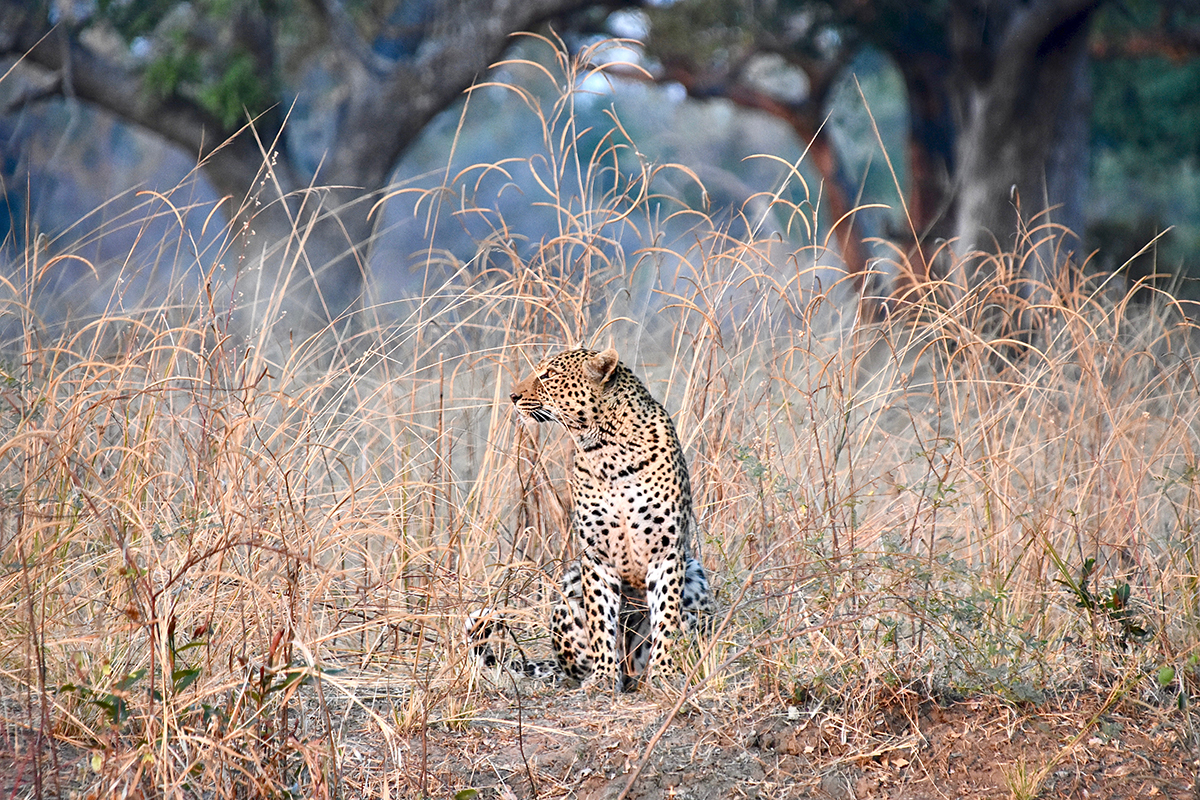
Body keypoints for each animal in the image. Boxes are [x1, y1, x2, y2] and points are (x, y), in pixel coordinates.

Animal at [494, 347, 710, 690]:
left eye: (550, 375)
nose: (513, 396)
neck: (607, 452)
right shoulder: (596, 557)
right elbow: (600, 620)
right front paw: (603, 677)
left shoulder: (666, 552)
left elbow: (666, 616)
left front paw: (664, 674)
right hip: (570, 586)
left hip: (695, 573)